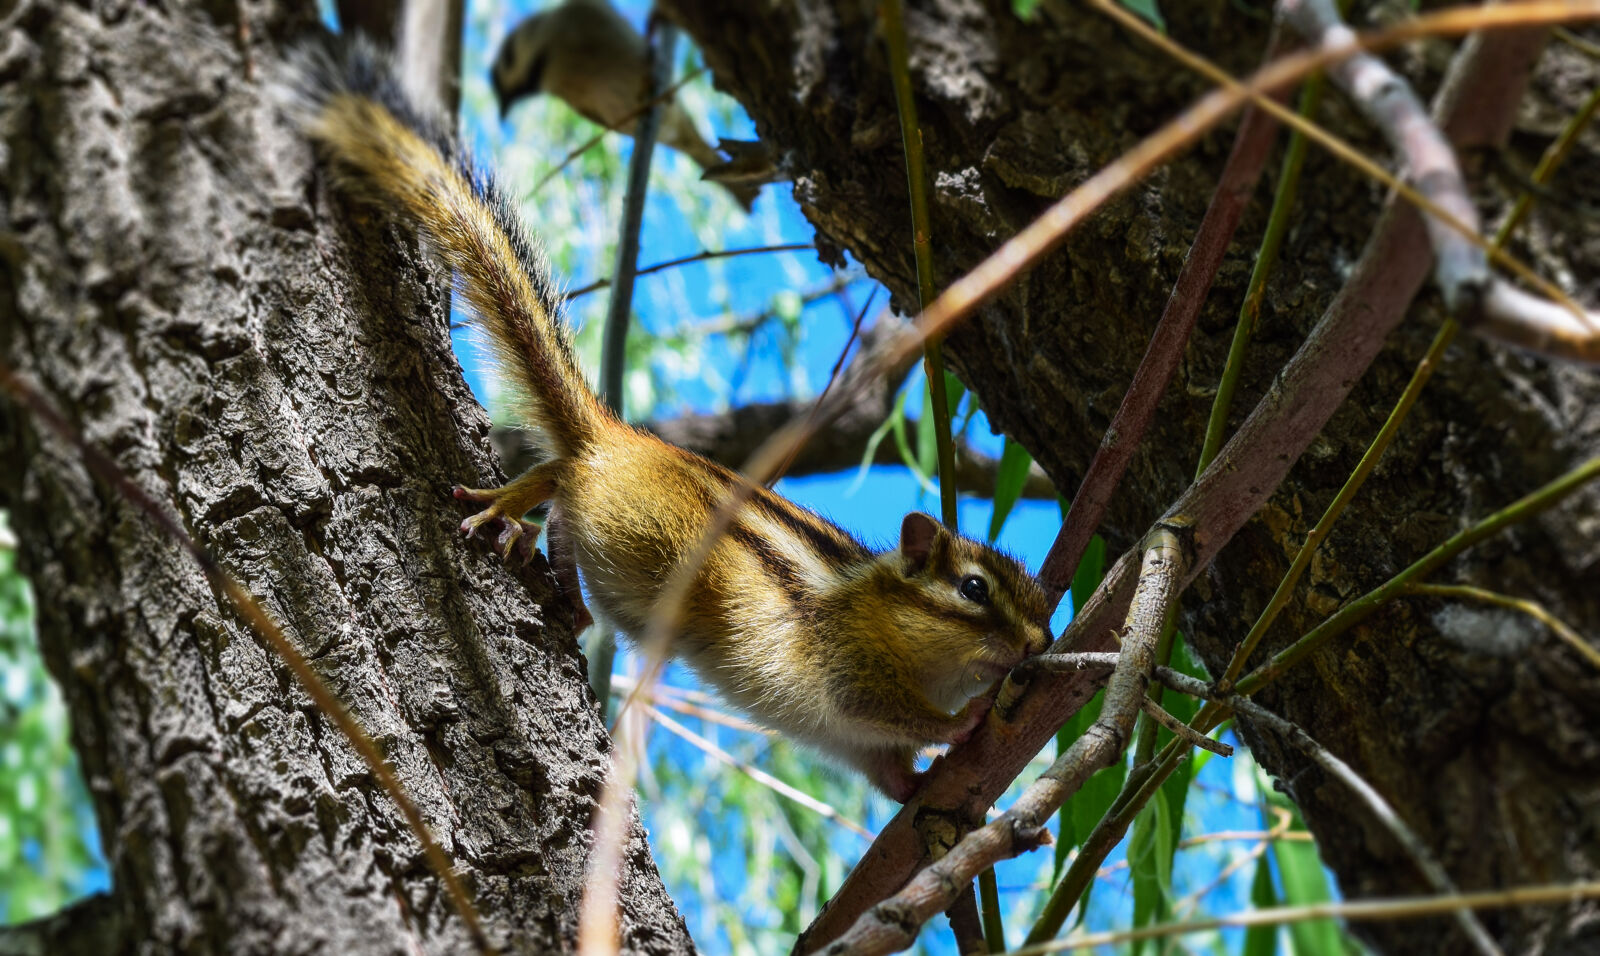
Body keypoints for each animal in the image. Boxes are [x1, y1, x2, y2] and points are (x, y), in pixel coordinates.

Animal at [279, 38, 1051, 802]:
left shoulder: (866, 751)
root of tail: (615, 435)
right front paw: (966, 720)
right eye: (974, 589)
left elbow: (896, 782)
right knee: (561, 477)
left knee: (567, 506)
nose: (1038, 647)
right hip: (624, 523)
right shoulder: (852, 665)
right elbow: (892, 709)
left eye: (1044, 605)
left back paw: (564, 588)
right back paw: (509, 506)